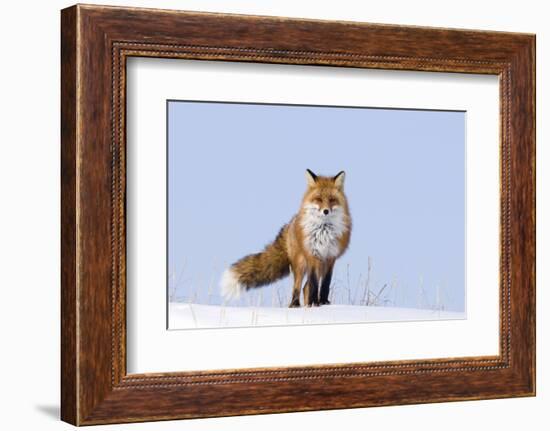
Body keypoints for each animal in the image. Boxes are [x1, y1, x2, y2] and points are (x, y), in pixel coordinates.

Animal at [222, 169, 352, 308]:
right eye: (318, 199)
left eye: (332, 200)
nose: (326, 211)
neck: (323, 231)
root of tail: (290, 223)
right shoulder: (312, 255)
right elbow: (314, 284)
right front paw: (313, 304)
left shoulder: (330, 257)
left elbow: (325, 284)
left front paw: (323, 302)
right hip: (300, 263)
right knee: (298, 287)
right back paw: (295, 304)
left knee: (305, 287)